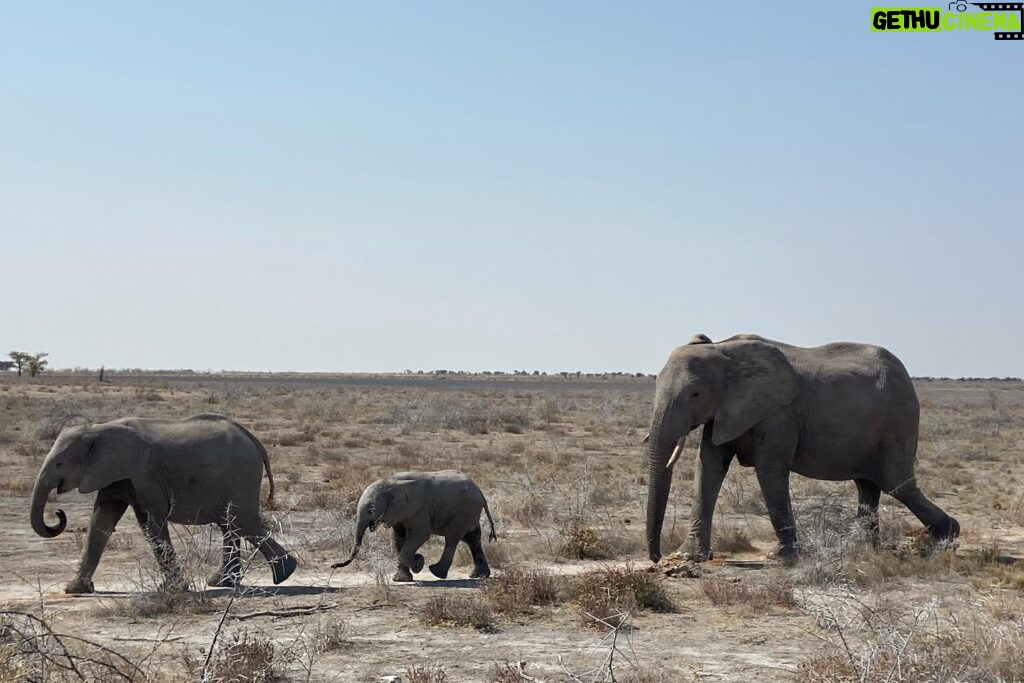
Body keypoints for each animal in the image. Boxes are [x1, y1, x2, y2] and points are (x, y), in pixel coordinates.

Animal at [29, 411, 299, 593]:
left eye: (59, 463)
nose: (58, 514)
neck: (96, 429)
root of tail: (254, 440)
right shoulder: (114, 475)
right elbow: (101, 521)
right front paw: (74, 589)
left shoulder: (145, 474)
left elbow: (153, 522)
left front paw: (173, 589)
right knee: (230, 524)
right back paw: (224, 582)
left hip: (241, 475)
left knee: (241, 522)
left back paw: (284, 573)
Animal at [333, 471, 497, 581]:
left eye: (370, 510)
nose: (334, 566)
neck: (391, 482)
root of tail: (481, 493)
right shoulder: (398, 513)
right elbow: (398, 539)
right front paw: (400, 580)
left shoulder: (419, 510)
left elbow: (420, 536)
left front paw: (418, 563)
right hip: (470, 511)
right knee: (472, 539)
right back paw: (479, 576)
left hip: (466, 510)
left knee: (453, 538)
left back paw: (436, 572)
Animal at [647, 333, 958, 565]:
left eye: (695, 394)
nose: (657, 557)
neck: (723, 350)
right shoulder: (724, 410)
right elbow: (708, 466)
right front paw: (688, 557)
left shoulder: (779, 412)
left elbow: (769, 469)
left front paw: (781, 556)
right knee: (869, 485)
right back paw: (864, 547)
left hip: (898, 421)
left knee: (896, 484)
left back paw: (947, 536)